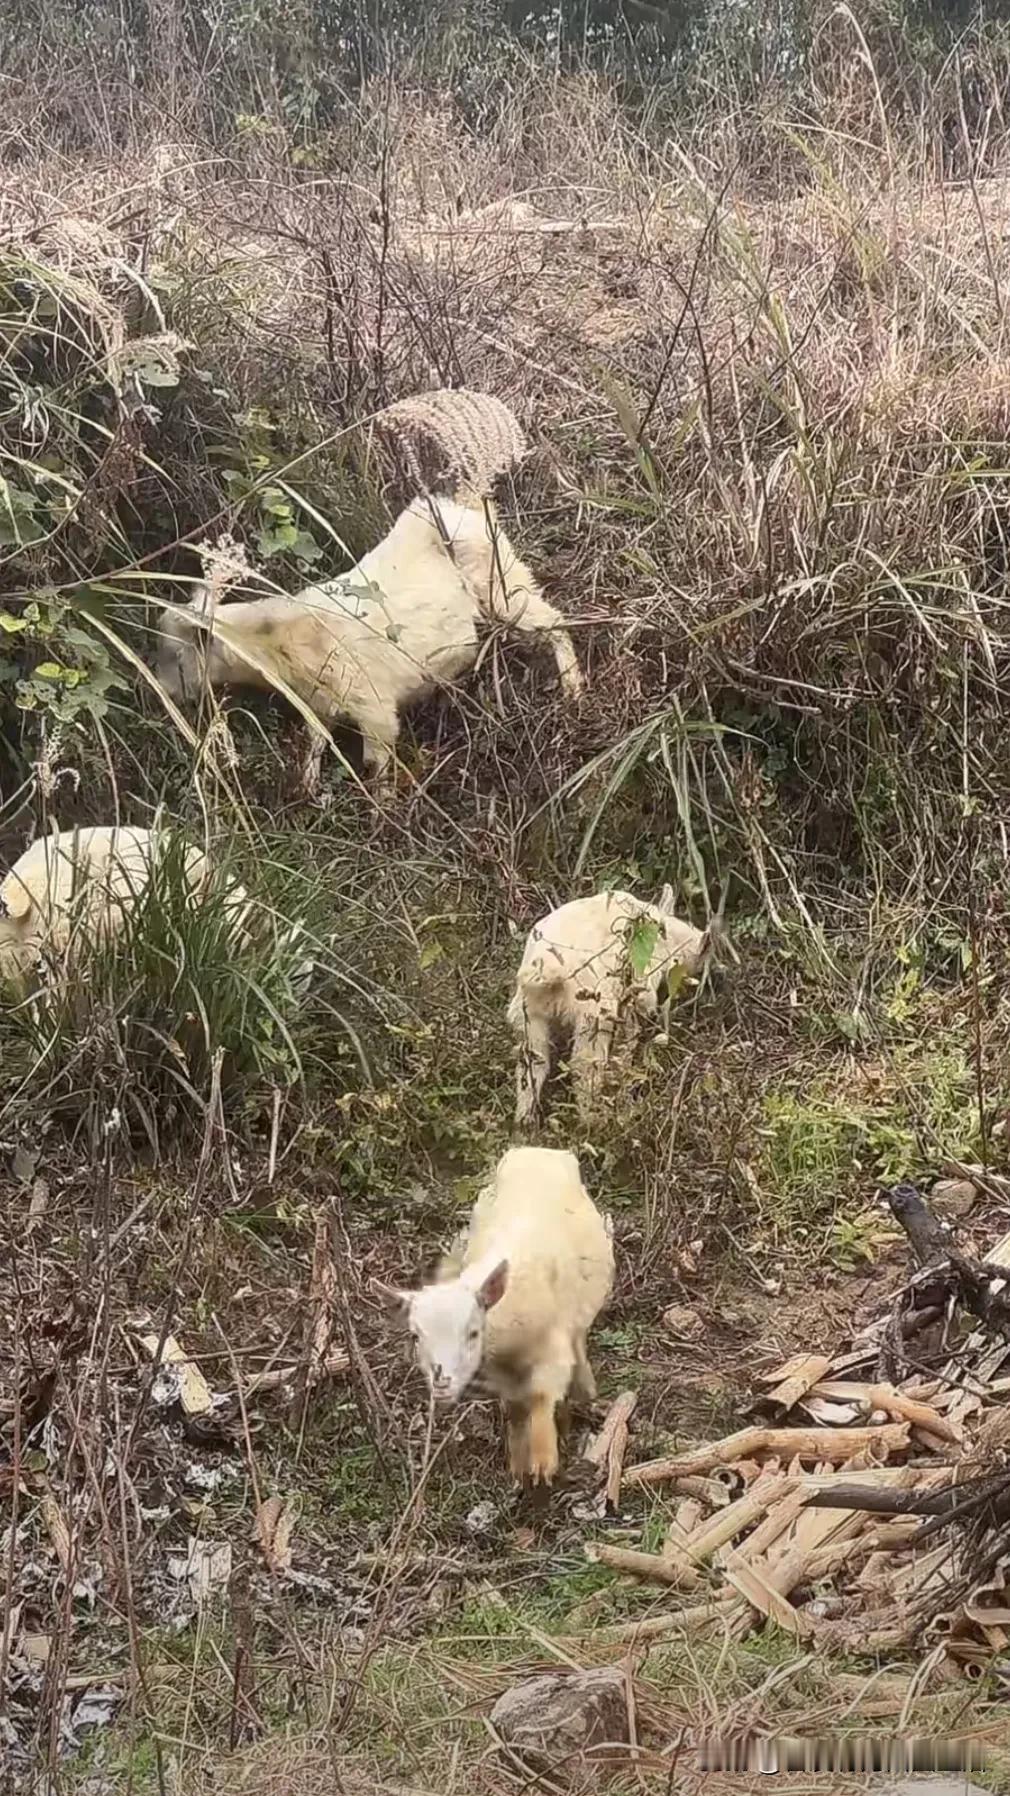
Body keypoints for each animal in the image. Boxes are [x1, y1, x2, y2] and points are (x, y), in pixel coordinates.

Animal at [156, 495, 582, 797]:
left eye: (175, 655)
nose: (162, 692)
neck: (283, 638)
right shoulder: (320, 704)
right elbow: (316, 741)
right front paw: (307, 787)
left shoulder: (374, 709)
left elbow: (375, 766)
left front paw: (384, 817)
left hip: (503, 585)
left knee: (555, 622)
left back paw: (573, 691)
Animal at [377, 1149, 614, 1487]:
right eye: (415, 1336)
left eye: (473, 1332)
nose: (442, 1384)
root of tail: (537, 1150)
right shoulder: (500, 1373)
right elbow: (514, 1409)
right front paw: (518, 1466)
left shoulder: (553, 1350)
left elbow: (541, 1396)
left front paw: (543, 1465)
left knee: (578, 1343)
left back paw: (584, 1393)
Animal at [503, 887, 708, 1120]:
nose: (706, 940)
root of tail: (547, 969)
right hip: (592, 1015)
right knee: (584, 1064)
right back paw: (594, 1118)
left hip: (527, 1014)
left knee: (532, 1063)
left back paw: (524, 1120)